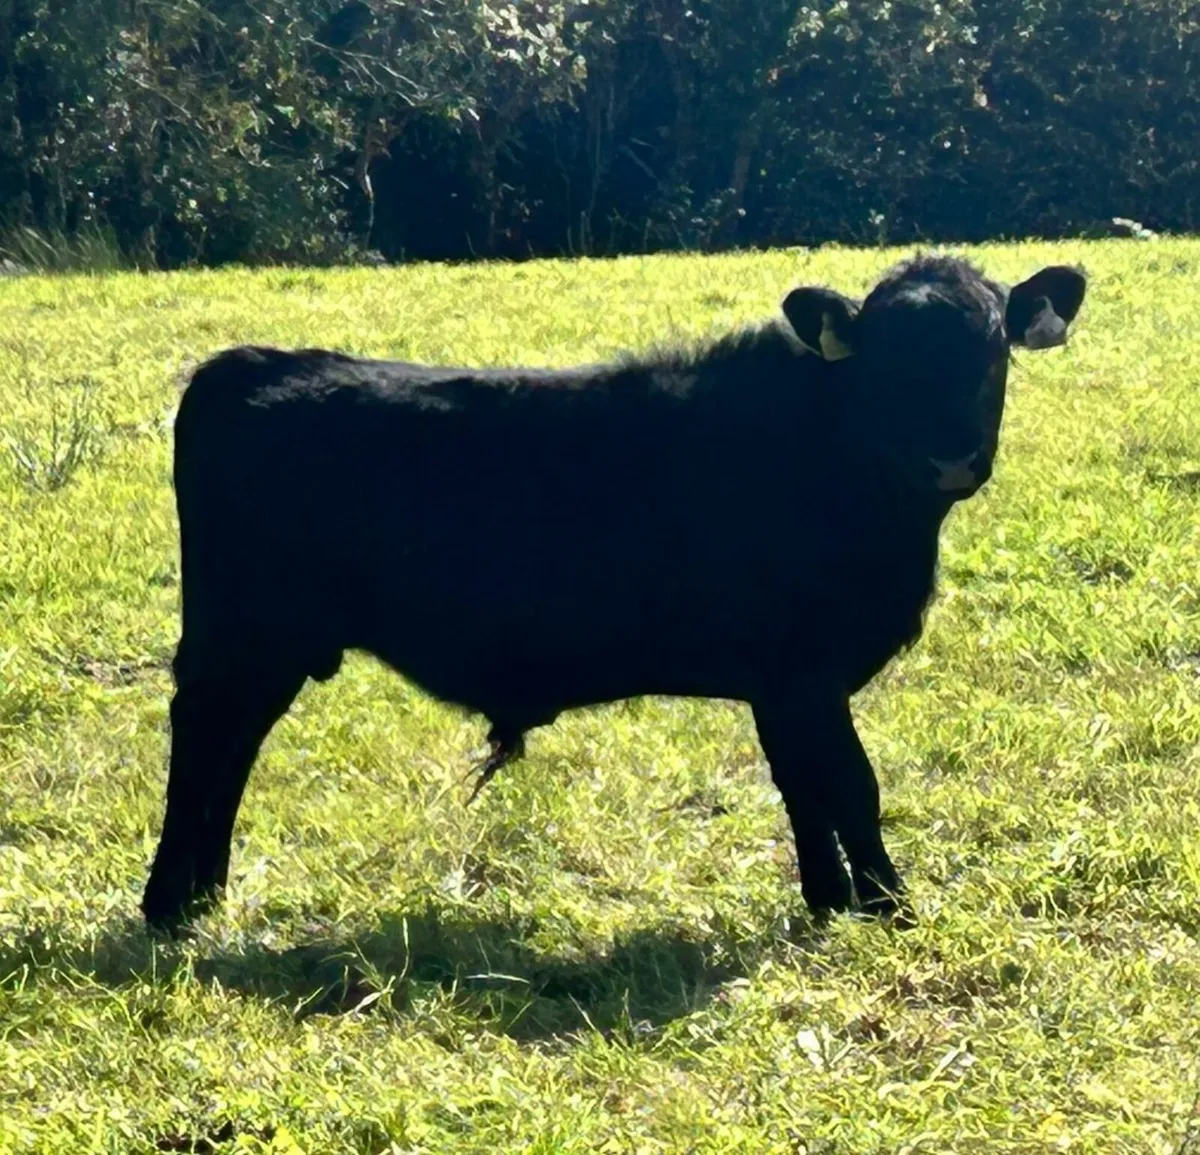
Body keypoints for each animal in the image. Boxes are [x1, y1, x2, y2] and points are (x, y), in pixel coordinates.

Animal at [141, 255, 1087, 934]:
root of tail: (251, 363)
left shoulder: (783, 685)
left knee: (234, 747)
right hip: (242, 638)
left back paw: (207, 892)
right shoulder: (803, 673)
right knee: (203, 737)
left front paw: (828, 902)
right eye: (887, 363)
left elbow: (803, 787)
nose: (952, 457)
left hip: (271, 647)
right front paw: (892, 906)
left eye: (994, 348)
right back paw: (166, 902)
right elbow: (850, 784)